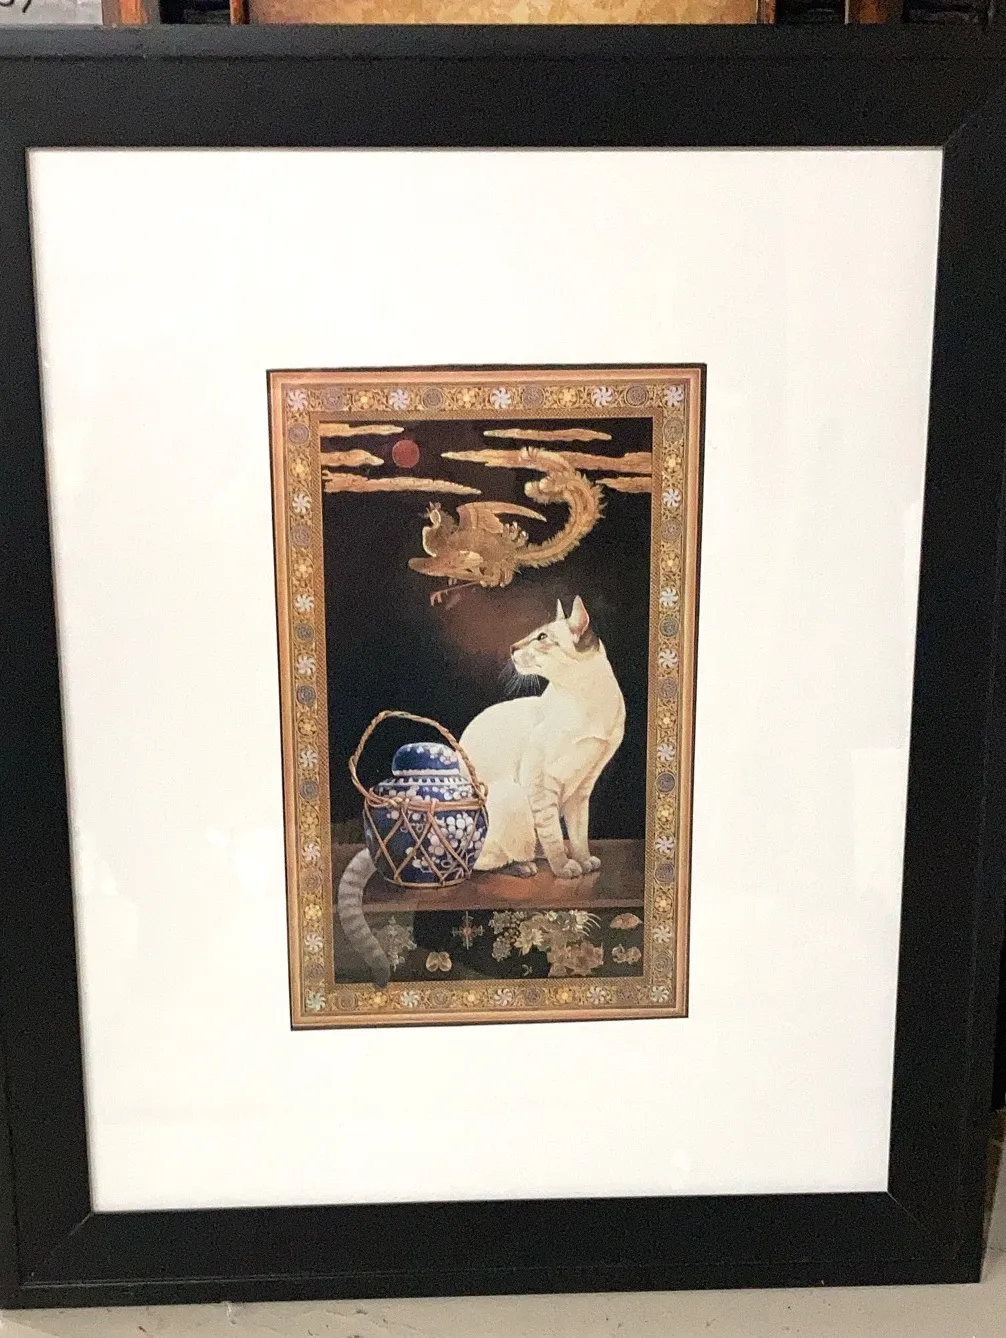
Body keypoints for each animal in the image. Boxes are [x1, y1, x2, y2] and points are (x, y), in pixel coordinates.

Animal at [336, 595, 625, 984]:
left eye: (541, 638)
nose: (514, 647)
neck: (586, 701)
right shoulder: (542, 787)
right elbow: (552, 834)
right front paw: (566, 868)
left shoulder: (582, 789)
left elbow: (578, 835)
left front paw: (583, 861)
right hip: (513, 797)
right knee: (489, 861)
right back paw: (526, 866)